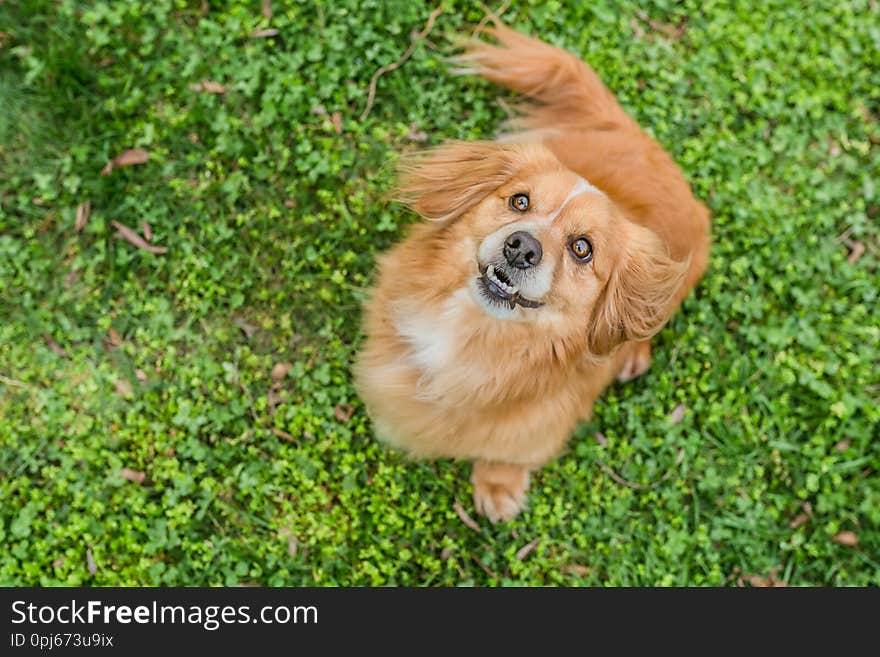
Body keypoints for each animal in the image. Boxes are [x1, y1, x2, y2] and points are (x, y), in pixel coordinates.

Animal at [354, 23, 712, 520]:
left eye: (582, 249)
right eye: (519, 201)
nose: (522, 247)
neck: (475, 336)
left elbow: (507, 452)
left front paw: (497, 486)